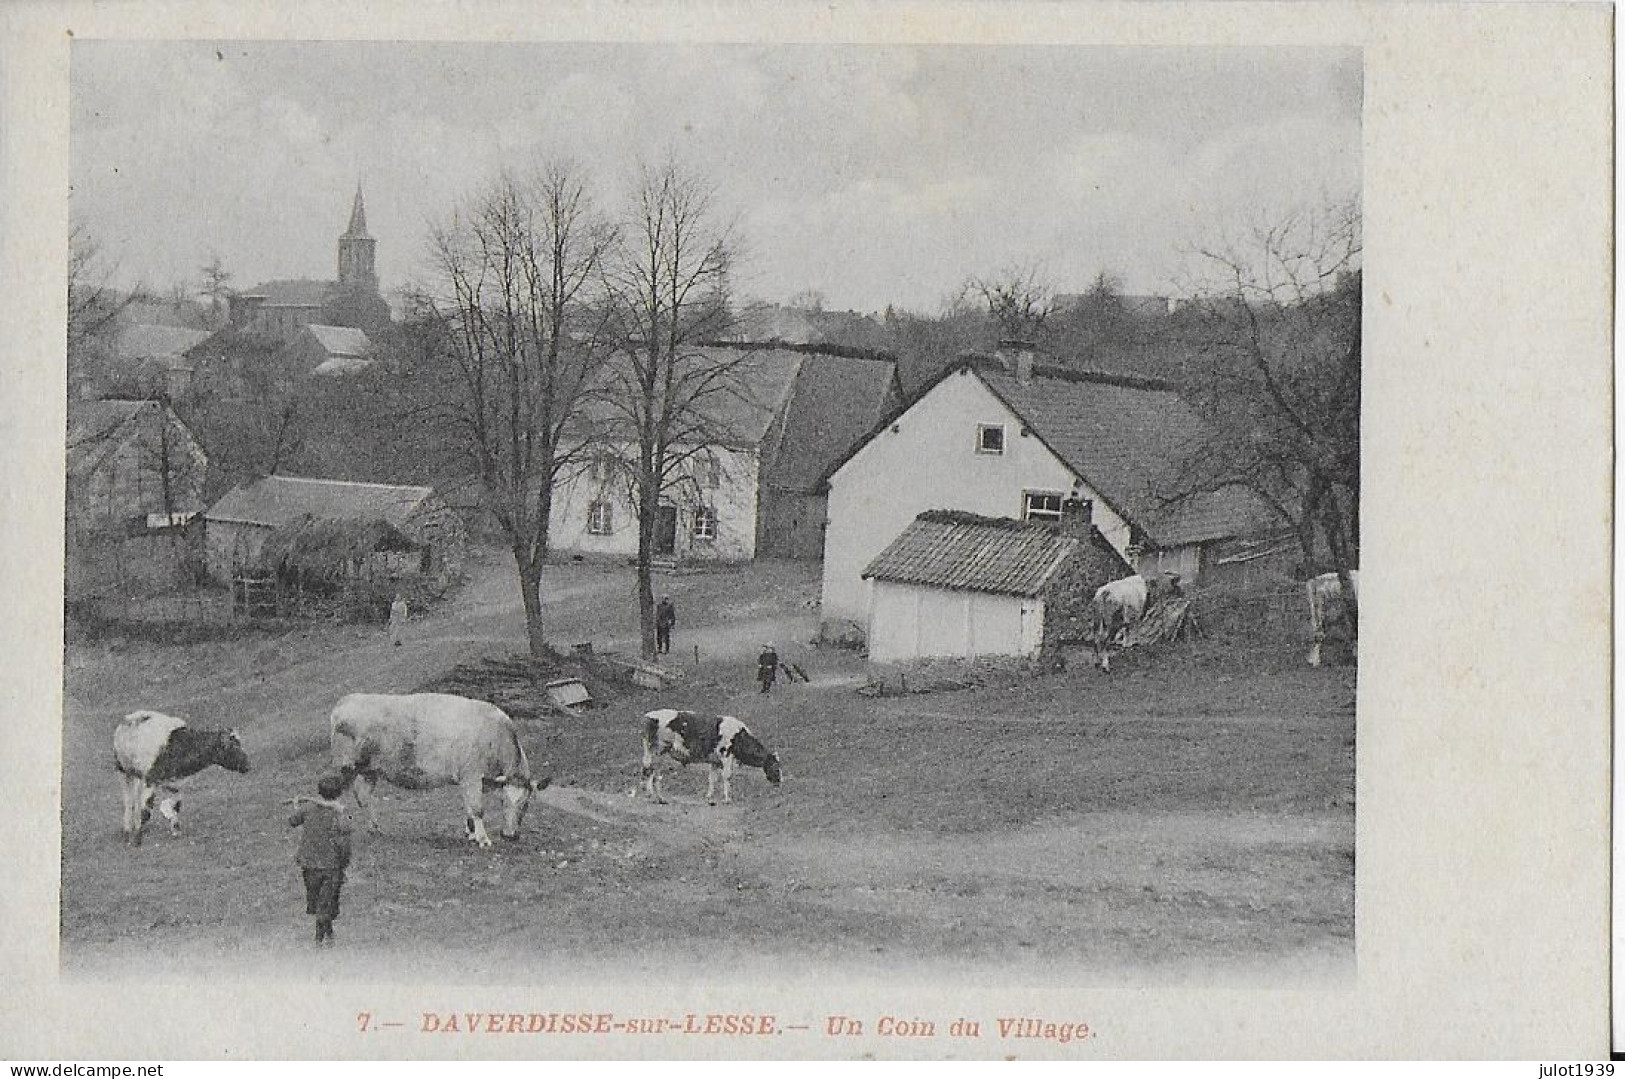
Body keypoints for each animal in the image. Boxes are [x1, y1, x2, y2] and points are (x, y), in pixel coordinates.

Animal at [112, 711, 250, 845]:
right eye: (232, 747)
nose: (247, 765)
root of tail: (130, 719)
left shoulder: (173, 782)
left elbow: (176, 804)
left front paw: (175, 828)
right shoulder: (152, 779)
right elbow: (146, 811)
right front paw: (137, 839)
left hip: (132, 773)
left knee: (132, 801)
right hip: (129, 773)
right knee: (133, 804)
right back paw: (131, 834)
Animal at [326, 692, 549, 851]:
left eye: (526, 803)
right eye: (503, 801)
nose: (510, 836)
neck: (494, 736)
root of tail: (348, 699)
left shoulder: (474, 780)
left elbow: (469, 808)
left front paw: (470, 833)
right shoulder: (471, 775)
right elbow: (477, 808)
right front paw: (483, 839)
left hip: (370, 770)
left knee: (363, 797)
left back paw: (375, 828)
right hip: (345, 766)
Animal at [640, 711, 780, 806]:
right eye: (776, 767)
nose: (779, 782)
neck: (739, 736)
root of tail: (649, 716)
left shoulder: (715, 761)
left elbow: (712, 778)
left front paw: (710, 798)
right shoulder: (726, 755)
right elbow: (727, 776)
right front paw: (727, 799)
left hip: (652, 752)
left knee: (650, 770)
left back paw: (656, 796)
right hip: (659, 751)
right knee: (652, 771)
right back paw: (655, 796)